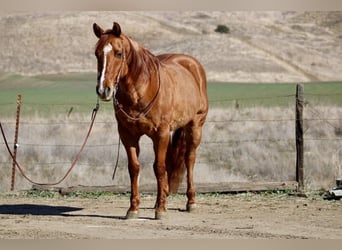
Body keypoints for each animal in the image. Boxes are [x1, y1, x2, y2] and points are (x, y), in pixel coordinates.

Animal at [92, 22, 207, 220]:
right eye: (97, 53)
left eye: (118, 53)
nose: (103, 90)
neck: (142, 90)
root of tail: (193, 66)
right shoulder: (127, 135)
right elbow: (134, 168)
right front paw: (133, 208)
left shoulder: (160, 134)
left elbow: (159, 168)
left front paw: (160, 210)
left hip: (195, 127)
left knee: (189, 159)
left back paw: (191, 201)